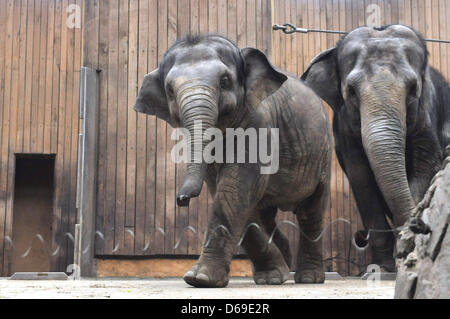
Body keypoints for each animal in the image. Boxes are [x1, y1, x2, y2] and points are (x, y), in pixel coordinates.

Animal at [134, 34, 330, 288]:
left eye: (225, 81)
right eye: (169, 90)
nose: (181, 199)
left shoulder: (259, 124)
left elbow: (234, 189)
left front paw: (200, 279)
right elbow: (228, 192)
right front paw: (272, 277)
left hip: (323, 154)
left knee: (311, 210)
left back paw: (308, 278)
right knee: (265, 213)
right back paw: (280, 273)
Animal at [300, 24, 450, 272]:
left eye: (413, 89)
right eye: (351, 91)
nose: (421, 225)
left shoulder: (427, 114)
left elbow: (425, 166)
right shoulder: (344, 128)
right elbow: (361, 177)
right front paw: (383, 267)